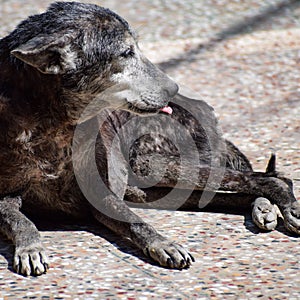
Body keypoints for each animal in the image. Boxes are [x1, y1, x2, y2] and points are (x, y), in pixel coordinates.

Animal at [0, 1, 300, 276]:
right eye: (126, 52)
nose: (174, 88)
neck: (52, 123)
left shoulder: (102, 195)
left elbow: (136, 223)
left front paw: (163, 244)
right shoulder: (6, 197)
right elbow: (20, 220)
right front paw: (30, 248)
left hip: (150, 164)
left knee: (272, 177)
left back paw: (284, 207)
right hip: (150, 187)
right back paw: (263, 207)